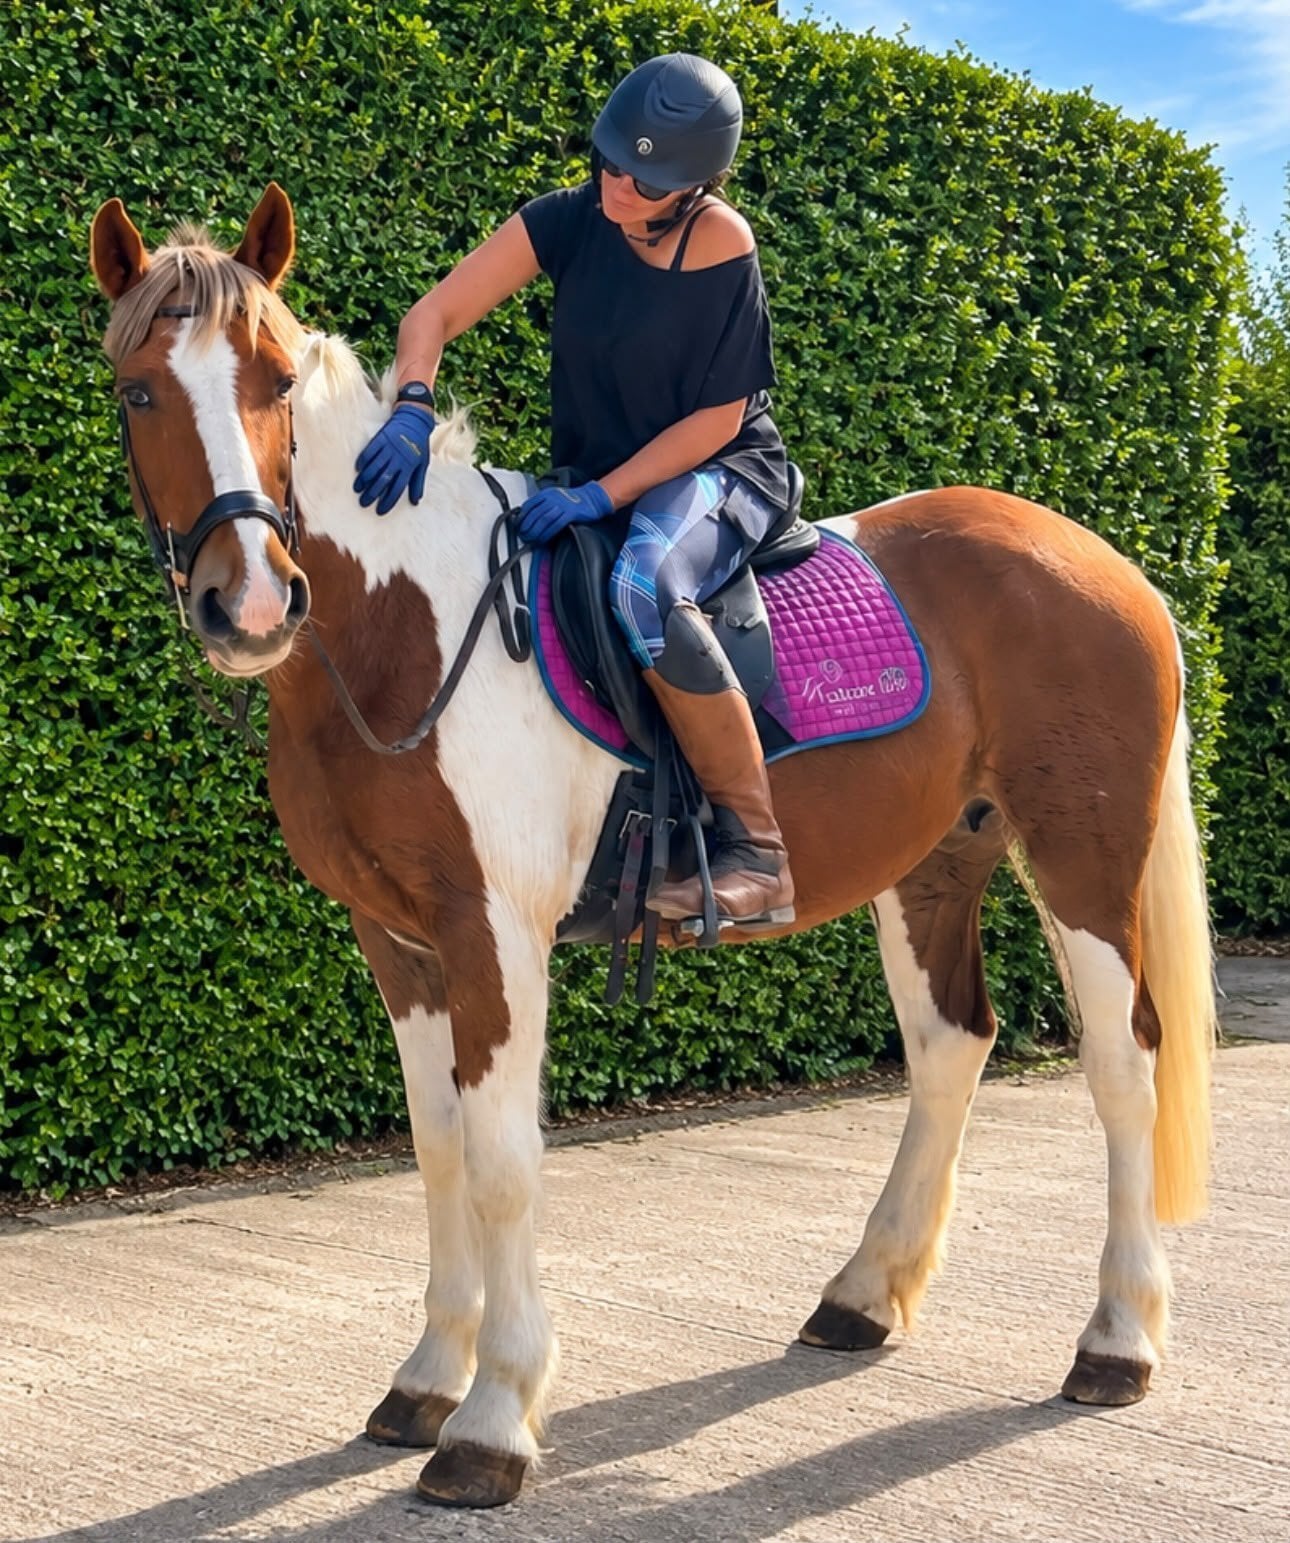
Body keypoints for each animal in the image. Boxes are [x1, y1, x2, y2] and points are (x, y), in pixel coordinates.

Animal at [89, 184, 1215, 1509]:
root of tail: (1105, 561)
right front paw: (426, 1379)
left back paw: (1117, 1340)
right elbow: (437, 1149)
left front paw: (492, 1418)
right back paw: (863, 1295)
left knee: (1123, 1062)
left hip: (1084, 857)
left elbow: (503, 1160)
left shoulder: (493, 933)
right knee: (951, 1046)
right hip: (934, 865)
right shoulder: (399, 941)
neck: (411, 629)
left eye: (272, 380)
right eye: (139, 392)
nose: (253, 603)